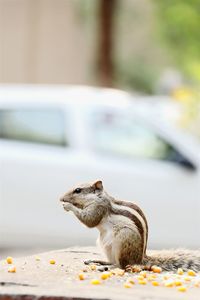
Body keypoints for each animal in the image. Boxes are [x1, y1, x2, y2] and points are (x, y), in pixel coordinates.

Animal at [59, 180, 200, 272]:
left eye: (78, 190)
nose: (61, 198)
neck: (99, 197)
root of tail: (140, 259)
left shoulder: (99, 208)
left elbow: (90, 220)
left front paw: (68, 205)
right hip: (104, 244)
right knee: (114, 262)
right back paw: (98, 262)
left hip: (124, 238)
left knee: (122, 266)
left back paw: (105, 267)